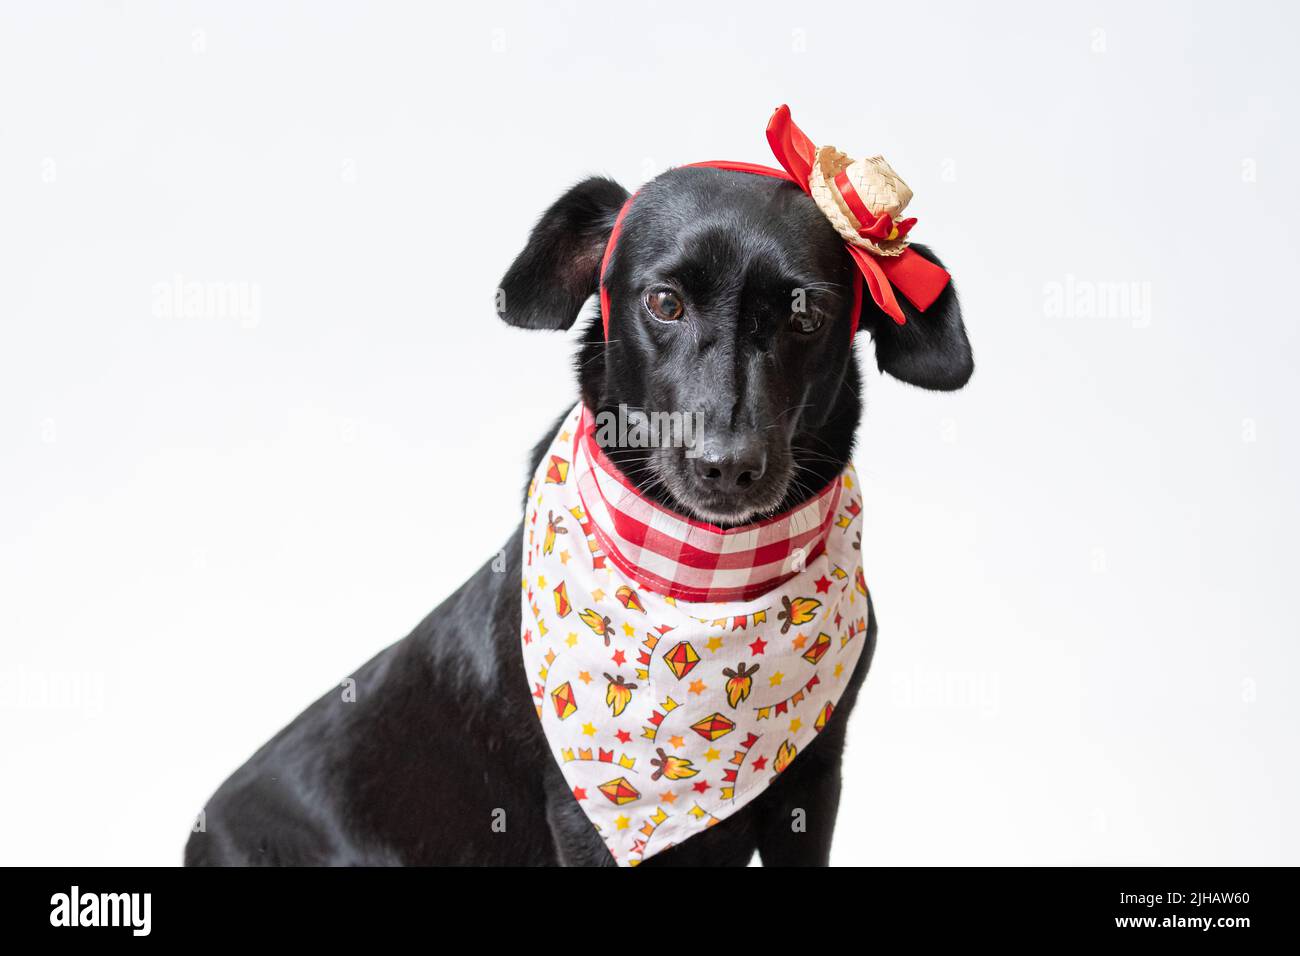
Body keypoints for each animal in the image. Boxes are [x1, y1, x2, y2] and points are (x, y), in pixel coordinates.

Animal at [188, 164, 972, 868]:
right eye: (664, 302)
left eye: (807, 316)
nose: (727, 465)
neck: (707, 575)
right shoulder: (585, 819)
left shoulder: (813, 783)